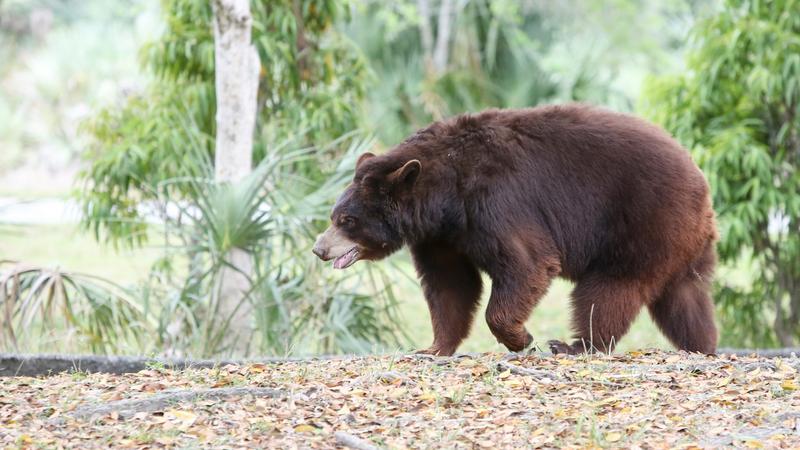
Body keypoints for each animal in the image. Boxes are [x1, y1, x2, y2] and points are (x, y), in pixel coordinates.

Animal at [310, 103, 720, 356]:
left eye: (347, 220)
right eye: (334, 215)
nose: (319, 249)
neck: (444, 192)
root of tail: (701, 181)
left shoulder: (497, 202)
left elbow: (526, 263)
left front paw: (520, 338)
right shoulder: (441, 236)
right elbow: (450, 285)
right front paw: (434, 346)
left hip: (643, 222)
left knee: (611, 289)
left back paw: (575, 345)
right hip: (682, 244)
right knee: (684, 295)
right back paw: (702, 344)